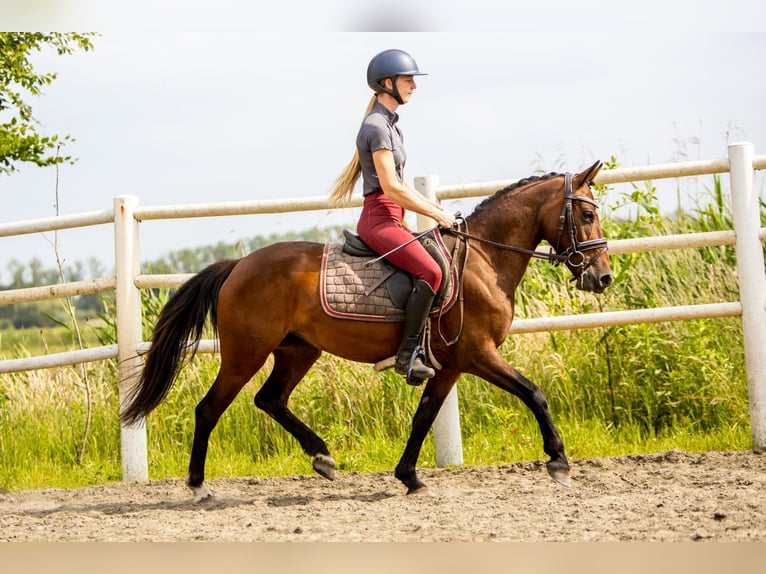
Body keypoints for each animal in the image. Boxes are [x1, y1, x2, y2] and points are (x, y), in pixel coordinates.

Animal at [121, 160, 612, 502]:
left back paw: (322, 455)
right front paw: (559, 461)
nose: (603, 277)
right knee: (209, 409)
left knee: (270, 399)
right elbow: (534, 393)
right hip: (246, 354)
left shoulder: (451, 365)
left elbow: (424, 416)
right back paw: (199, 485)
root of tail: (239, 264)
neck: (483, 260)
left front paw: (410, 477)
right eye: (587, 214)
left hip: (297, 351)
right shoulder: (478, 354)